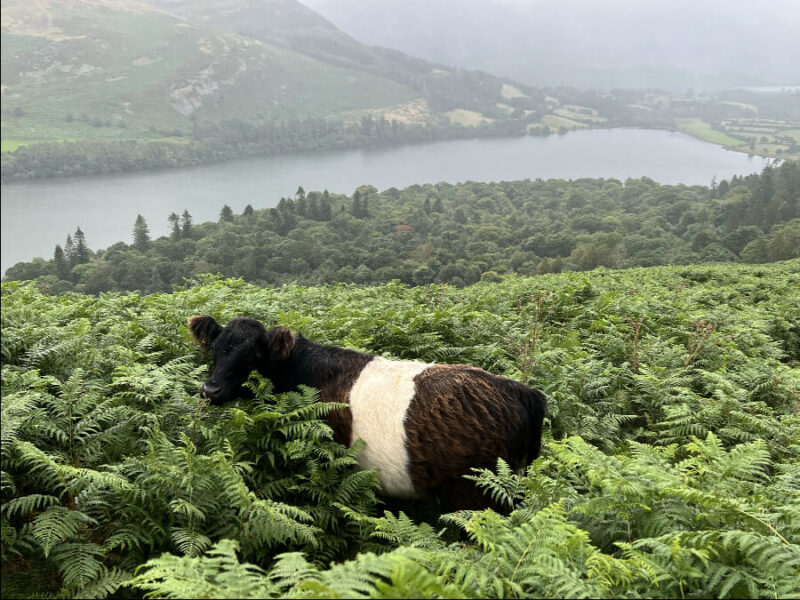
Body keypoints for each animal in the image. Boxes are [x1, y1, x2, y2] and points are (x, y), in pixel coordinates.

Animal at [188, 315, 546, 509]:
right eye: (215, 349)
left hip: (476, 496)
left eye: (254, 356)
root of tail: (520, 390)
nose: (210, 390)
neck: (307, 373)